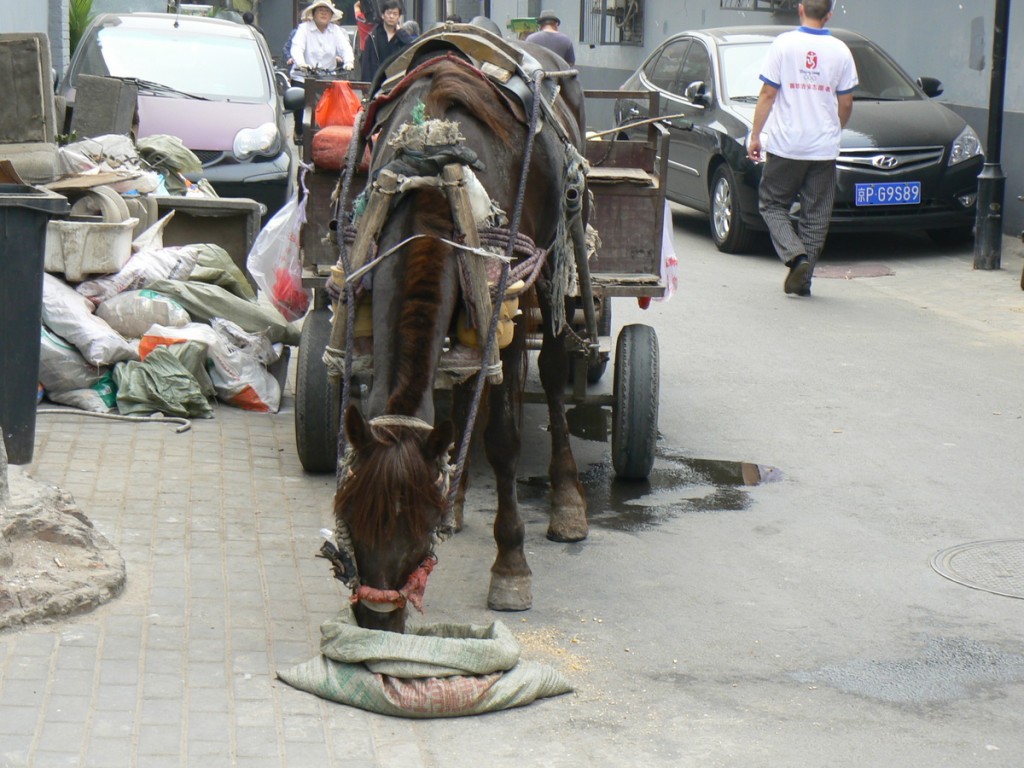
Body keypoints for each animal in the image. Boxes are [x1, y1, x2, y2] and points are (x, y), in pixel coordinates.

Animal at [333, 37, 589, 630]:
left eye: (416, 531)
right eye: (350, 512)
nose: (377, 620)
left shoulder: (505, 305)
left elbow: (504, 438)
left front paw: (511, 566)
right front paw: (448, 489)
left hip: (552, 267)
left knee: (553, 371)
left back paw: (567, 501)